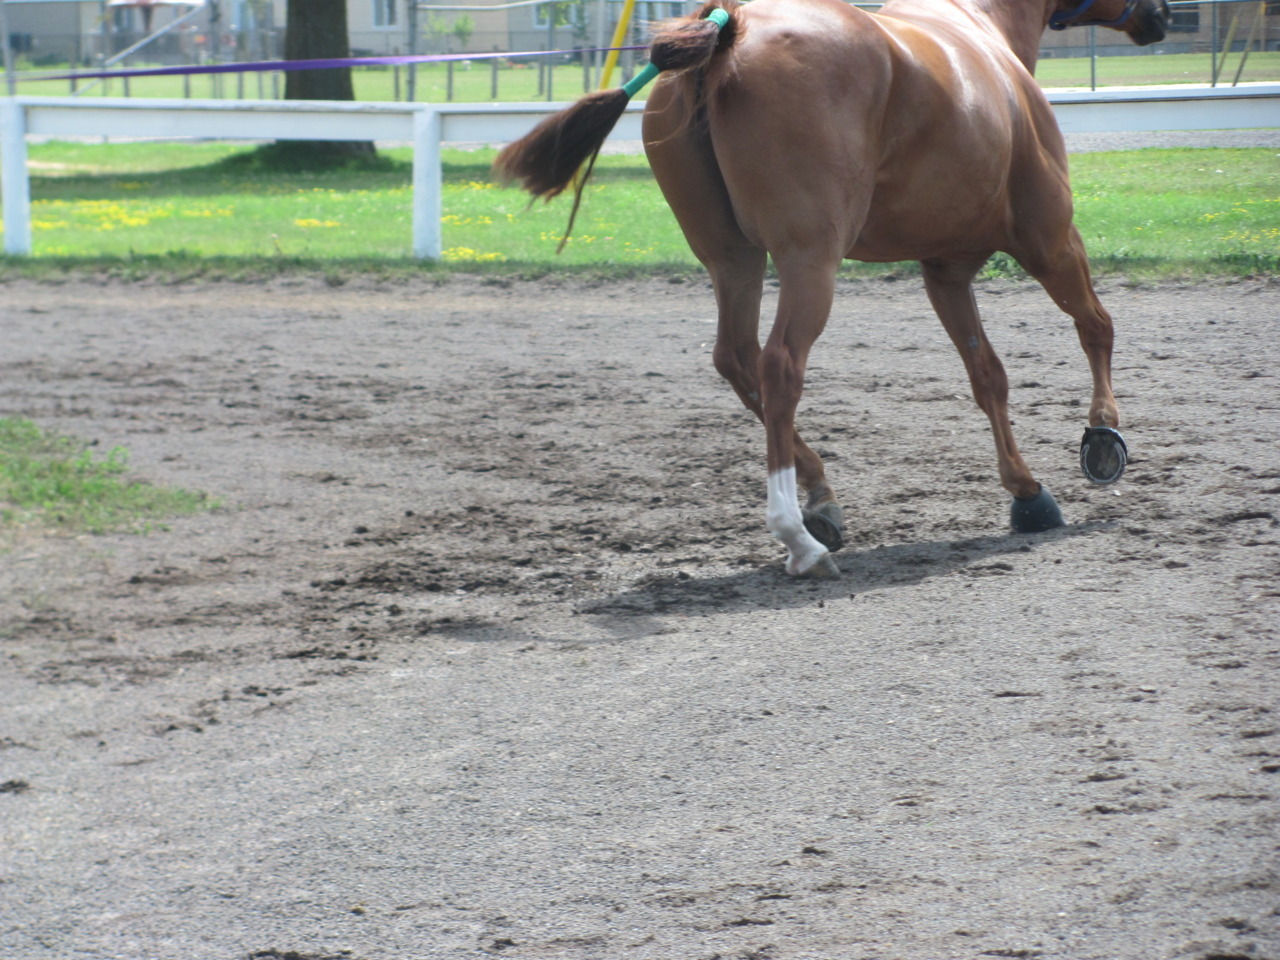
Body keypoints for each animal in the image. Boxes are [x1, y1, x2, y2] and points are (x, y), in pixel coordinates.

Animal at [496, 0, 1172, 576]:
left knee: (737, 360)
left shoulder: (946, 271)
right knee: (778, 367)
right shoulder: (1048, 239)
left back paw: (821, 497)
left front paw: (1027, 494)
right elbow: (1096, 326)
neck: (983, 34)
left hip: (732, 259)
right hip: (810, 261)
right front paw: (1102, 439)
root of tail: (731, 24)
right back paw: (798, 535)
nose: (1161, 13)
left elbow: (989, 378)